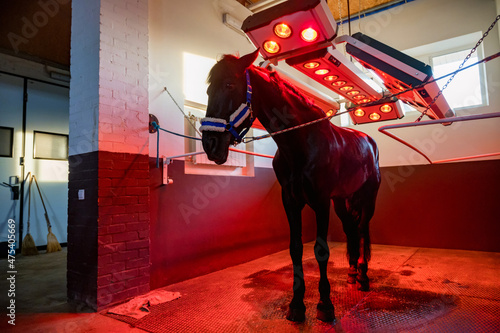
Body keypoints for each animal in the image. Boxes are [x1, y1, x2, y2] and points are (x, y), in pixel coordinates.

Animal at [201, 49, 380, 322]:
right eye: (209, 89)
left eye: (229, 84)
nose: (209, 144)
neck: (301, 143)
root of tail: (368, 141)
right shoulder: (291, 201)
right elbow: (295, 248)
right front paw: (296, 304)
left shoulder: (321, 202)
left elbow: (321, 250)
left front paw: (325, 304)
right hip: (341, 200)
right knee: (351, 229)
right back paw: (352, 273)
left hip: (368, 198)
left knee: (360, 229)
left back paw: (363, 276)